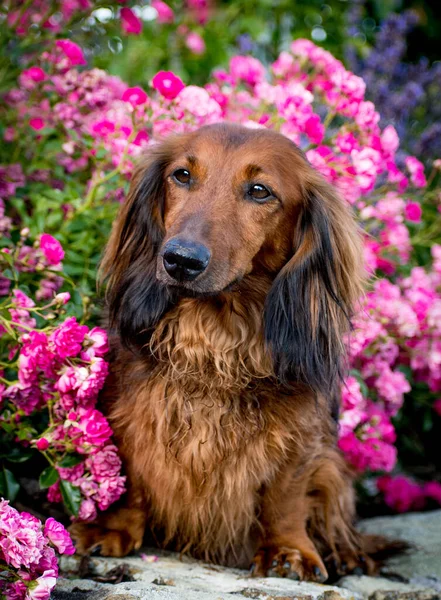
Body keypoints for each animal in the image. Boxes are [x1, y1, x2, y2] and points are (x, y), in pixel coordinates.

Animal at [69, 123, 396, 580]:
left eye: (259, 191)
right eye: (182, 175)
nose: (180, 260)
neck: (213, 341)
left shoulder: (302, 436)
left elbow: (286, 493)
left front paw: (288, 549)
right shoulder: (126, 410)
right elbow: (128, 473)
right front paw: (111, 526)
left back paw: (345, 553)